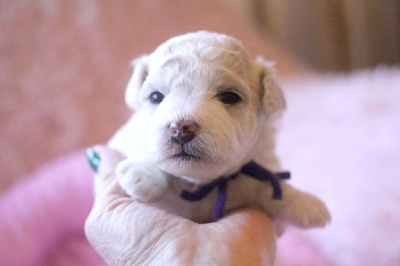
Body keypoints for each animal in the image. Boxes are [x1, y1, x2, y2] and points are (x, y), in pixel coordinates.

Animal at [108, 30, 332, 228]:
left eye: (230, 96)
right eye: (156, 97)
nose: (181, 127)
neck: (200, 184)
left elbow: (265, 185)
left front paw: (304, 203)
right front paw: (143, 173)